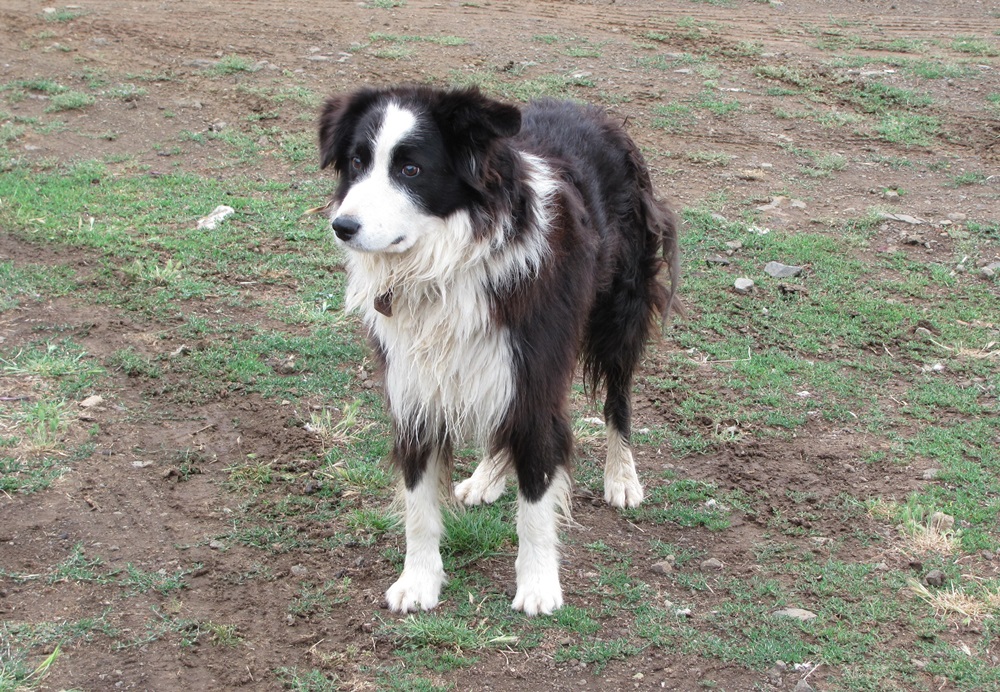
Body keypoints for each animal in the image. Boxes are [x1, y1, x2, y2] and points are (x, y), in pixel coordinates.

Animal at [318, 86, 680, 616]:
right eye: (357, 162)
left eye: (411, 169)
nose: (342, 225)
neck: (446, 264)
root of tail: (592, 112)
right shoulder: (415, 387)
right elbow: (418, 501)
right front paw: (418, 581)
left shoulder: (535, 373)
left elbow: (537, 494)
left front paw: (538, 585)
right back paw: (488, 476)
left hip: (619, 311)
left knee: (618, 397)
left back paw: (622, 476)